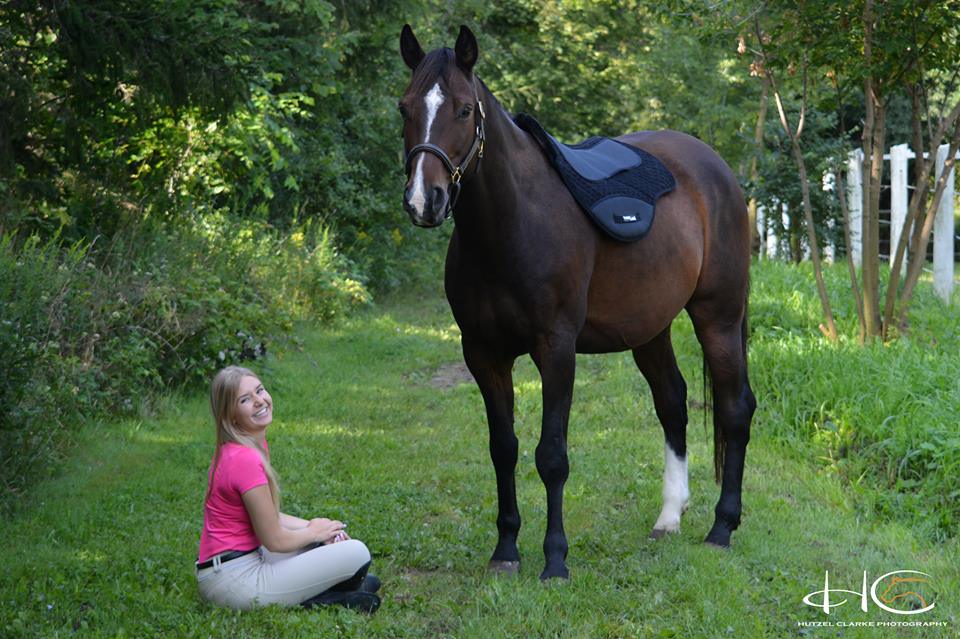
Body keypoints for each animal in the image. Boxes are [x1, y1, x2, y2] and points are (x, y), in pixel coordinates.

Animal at [398, 25, 756, 580]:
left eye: (463, 109)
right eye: (404, 107)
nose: (424, 201)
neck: (511, 224)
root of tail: (716, 169)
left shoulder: (556, 350)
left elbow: (552, 456)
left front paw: (555, 560)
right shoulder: (483, 354)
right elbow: (503, 449)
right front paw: (506, 549)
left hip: (718, 316)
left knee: (735, 407)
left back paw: (722, 528)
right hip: (650, 329)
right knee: (672, 404)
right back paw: (670, 517)